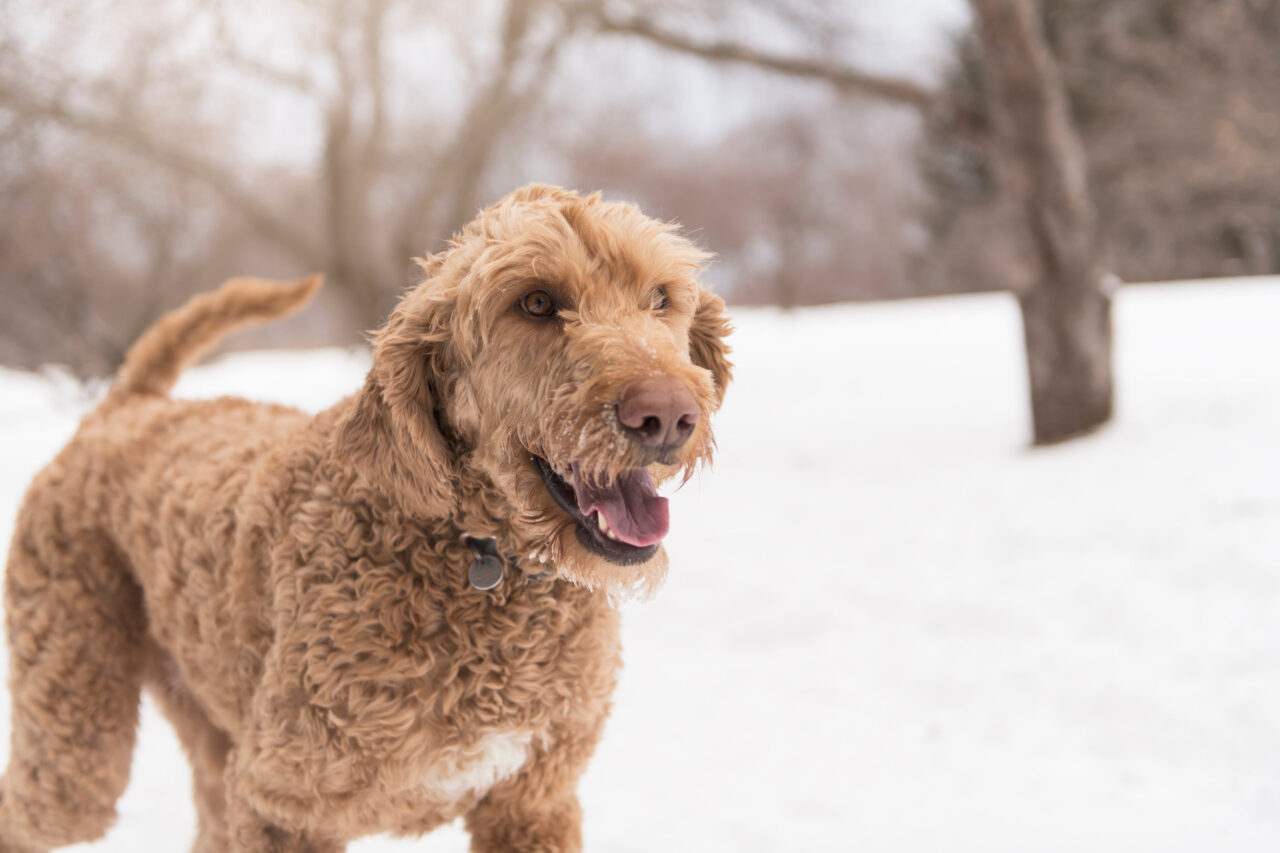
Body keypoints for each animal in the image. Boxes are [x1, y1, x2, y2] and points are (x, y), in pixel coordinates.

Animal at [0, 183, 737, 845]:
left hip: (208, 722)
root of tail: (129, 407)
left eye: (661, 298)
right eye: (535, 301)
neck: (479, 558)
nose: (668, 413)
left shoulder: (532, 800)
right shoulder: (281, 803)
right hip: (76, 730)